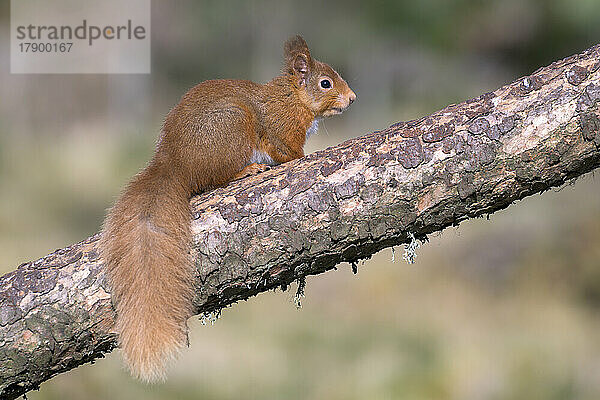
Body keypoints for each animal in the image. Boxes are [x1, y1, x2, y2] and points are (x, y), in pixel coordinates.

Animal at [99, 35, 356, 382]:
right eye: (325, 83)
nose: (352, 98)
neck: (291, 97)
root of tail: (174, 163)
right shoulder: (281, 132)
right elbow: (288, 152)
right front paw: (303, 157)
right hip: (233, 128)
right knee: (215, 179)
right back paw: (246, 170)